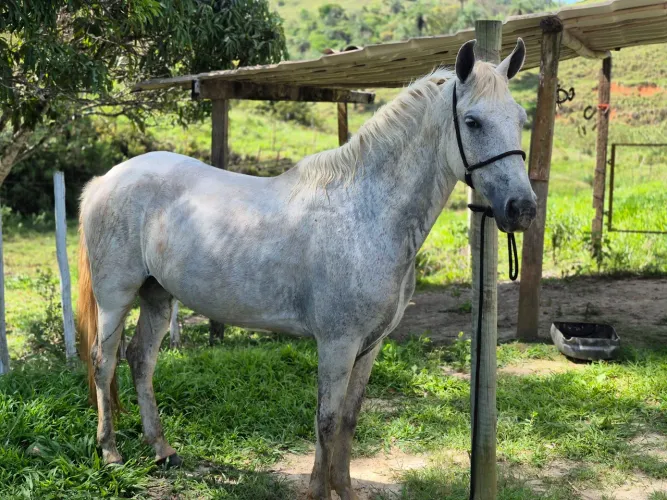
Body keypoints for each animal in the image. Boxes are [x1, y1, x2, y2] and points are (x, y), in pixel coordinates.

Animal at [76, 38, 536, 500]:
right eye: (473, 121)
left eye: (520, 119)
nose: (523, 209)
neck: (365, 213)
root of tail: (104, 180)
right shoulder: (337, 343)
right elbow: (326, 422)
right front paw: (318, 491)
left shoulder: (370, 345)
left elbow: (349, 420)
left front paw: (344, 489)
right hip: (115, 298)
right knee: (104, 360)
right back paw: (110, 451)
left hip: (158, 295)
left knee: (141, 359)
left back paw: (162, 449)